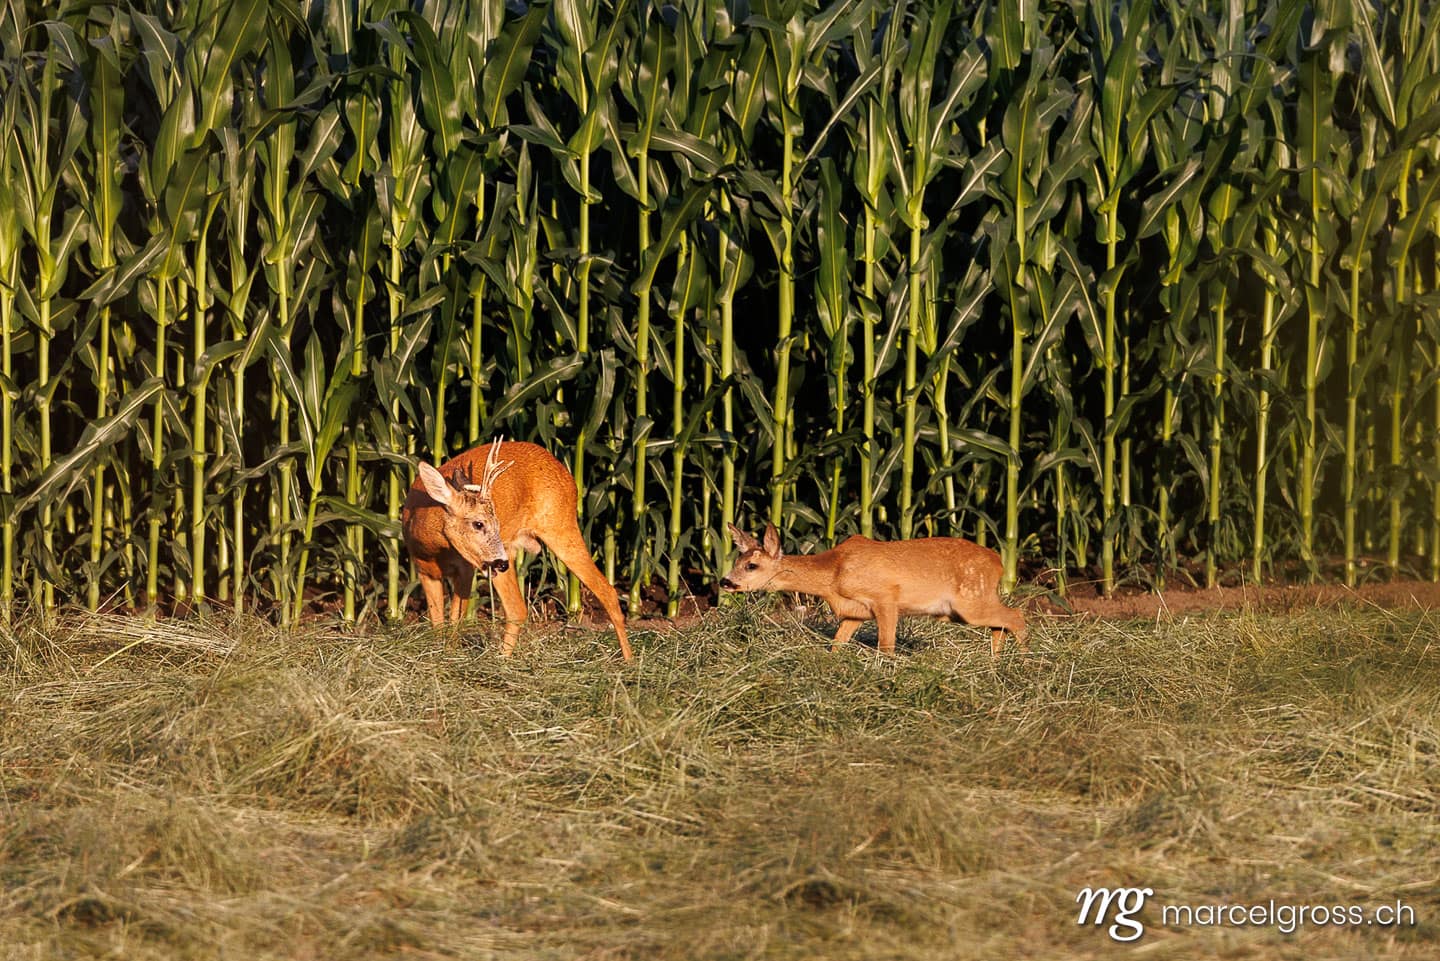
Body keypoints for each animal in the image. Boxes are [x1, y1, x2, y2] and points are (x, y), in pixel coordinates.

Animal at [402, 438, 632, 660]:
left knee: (606, 591)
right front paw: (439, 654)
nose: (500, 563)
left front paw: (449, 654)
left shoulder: (467, 568)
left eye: (496, 523)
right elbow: (437, 622)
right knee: (518, 609)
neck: (433, 549)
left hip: (559, 526)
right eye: (479, 523)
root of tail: (569, 477)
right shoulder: (424, 570)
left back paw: (628, 661)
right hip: (510, 550)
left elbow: (455, 618)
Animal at [718, 523, 1027, 656]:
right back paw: (995, 662)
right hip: (967, 606)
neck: (834, 573)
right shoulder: (856, 612)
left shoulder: (886, 597)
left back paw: (1024, 661)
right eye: (737, 561)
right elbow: (837, 643)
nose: (725, 582)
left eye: (752, 566)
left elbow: (886, 645)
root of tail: (999, 562)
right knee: (1002, 623)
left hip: (971, 601)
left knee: (1017, 616)